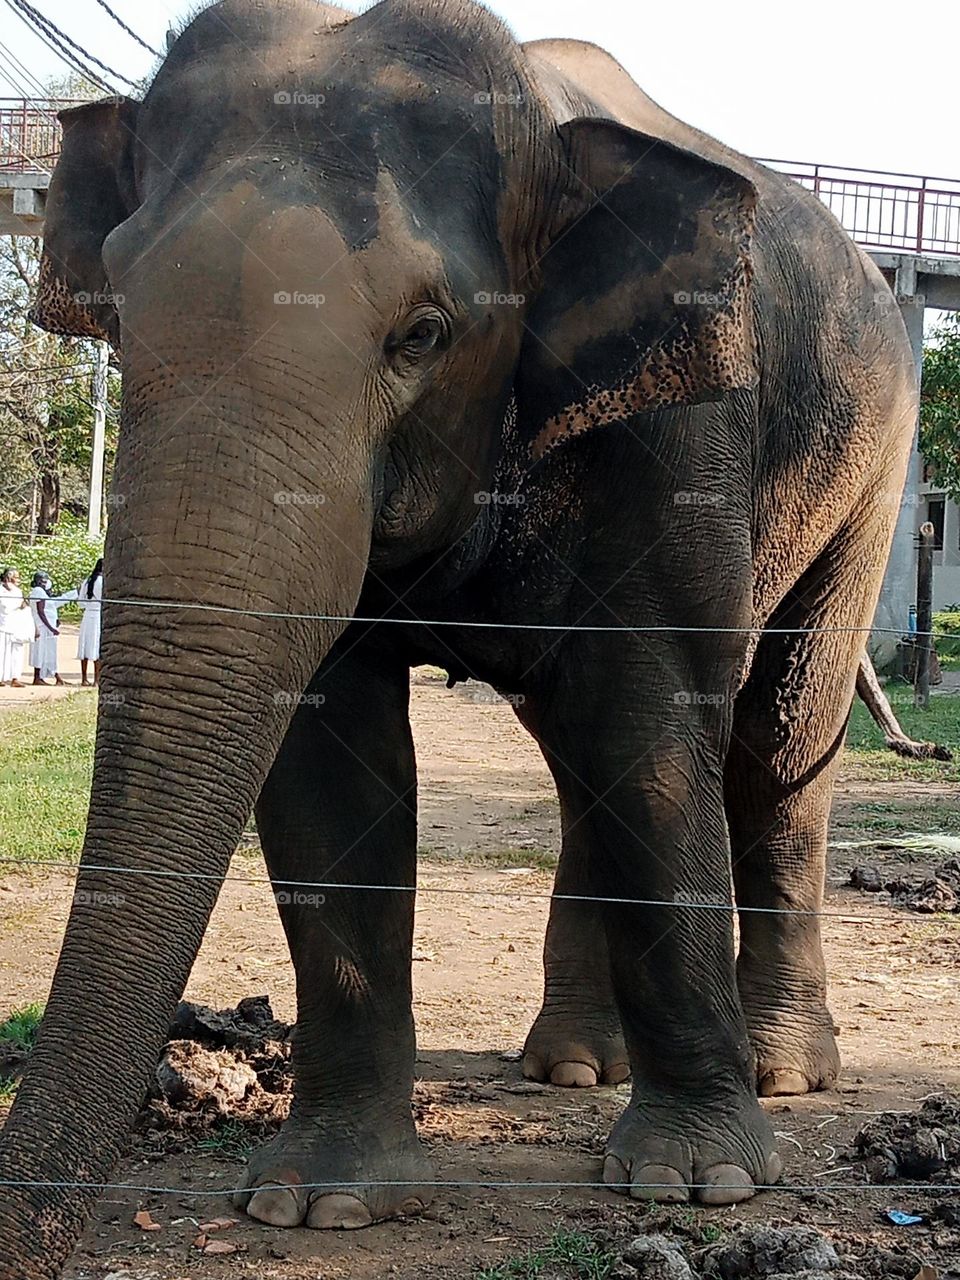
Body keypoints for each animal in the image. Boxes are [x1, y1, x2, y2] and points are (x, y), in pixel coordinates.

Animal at [0, 0, 917, 1274]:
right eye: (120, 319)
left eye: (423, 332)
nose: (36, 1228)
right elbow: (334, 764)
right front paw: (321, 1201)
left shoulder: (677, 431)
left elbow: (653, 718)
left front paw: (701, 1179)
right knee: (588, 763)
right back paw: (572, 1061)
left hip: (868, 470)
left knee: (775, 740)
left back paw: (781, 1071)